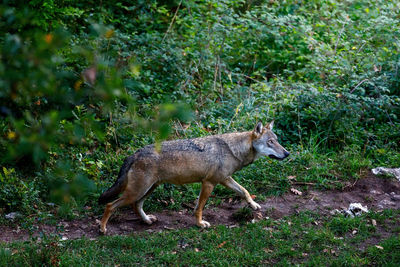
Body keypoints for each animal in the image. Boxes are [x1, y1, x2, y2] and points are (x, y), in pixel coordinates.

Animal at [98, 121, 290, 234]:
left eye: (277, 140)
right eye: (270, 142)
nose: (287, 153)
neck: (234, 150)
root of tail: (135, 153)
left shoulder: (224, 179)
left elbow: (244, 191)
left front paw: (254, 205)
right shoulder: (209, 183)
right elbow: (200, 208)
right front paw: (200, 224)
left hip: (148, 189)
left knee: (136, 206)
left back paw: (146, 221)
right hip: (137, 191)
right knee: (110, 205)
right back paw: (102, 228)